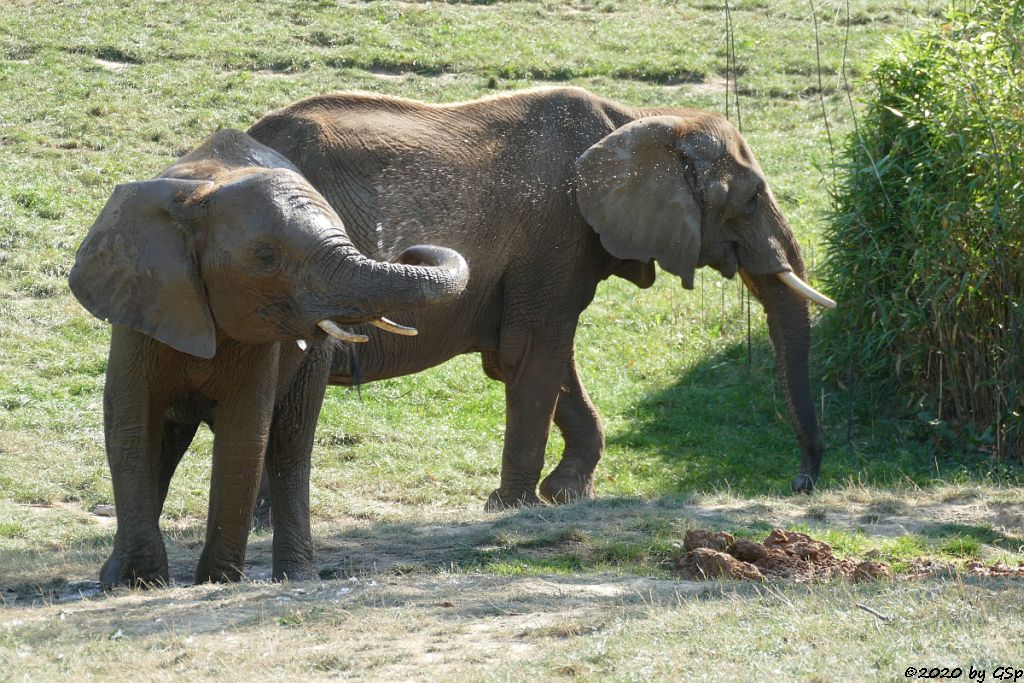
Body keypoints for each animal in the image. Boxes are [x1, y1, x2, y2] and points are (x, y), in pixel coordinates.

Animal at [70, 129, 468, 589]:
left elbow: (245, 434)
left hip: (312, 362)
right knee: (168, 444)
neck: (204, 189)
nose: (412, 251)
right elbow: (132, 425)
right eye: (266, 258)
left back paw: (295, 576)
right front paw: (136, 582)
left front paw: (217, 581)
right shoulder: (140, 304)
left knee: (291, 443)